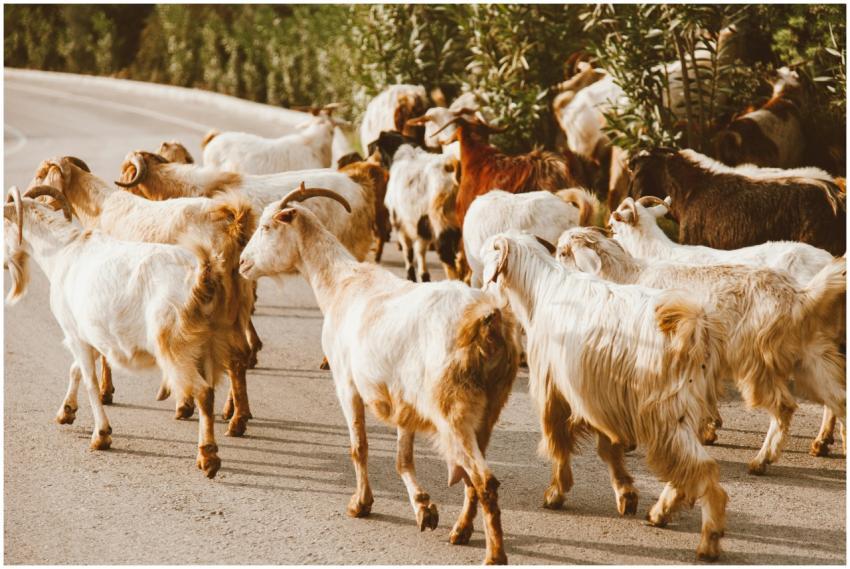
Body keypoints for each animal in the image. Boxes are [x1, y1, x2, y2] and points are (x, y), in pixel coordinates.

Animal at [4, 186, 228, 478]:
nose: (4, 264)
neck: (64, 251)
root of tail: (201, 277)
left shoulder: (75, 334)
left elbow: (90, 381)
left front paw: (101, 435)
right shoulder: (91, 335)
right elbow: (76, 370)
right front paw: (66, 412)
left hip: (174, 346)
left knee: (204, 392)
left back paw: (208, 458)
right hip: (210, 344)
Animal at [32, 157, 257, 437]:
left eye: (41, 173)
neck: (101, 208)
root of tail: (233, 223)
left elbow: (104, 348)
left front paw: (106, 393)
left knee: (233, 357)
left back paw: (230, 419)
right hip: (238, 302)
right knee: (239, 354)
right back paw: (234, 413)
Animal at [239, 186, 521, 564]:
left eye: (267, 226)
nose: (242, 263)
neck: (342, 283)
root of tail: (486, 319)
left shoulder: (346, 383)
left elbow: (359, 446)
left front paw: (361, 504)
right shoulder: (403, 399)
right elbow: (403, 458)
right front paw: (424, 509)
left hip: (453, 408)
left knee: (484, 480)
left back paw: (493, 554)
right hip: (490, 407)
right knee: (472, 478)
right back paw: (461, 531)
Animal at [479, 231, 727, 561]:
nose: (480, 290)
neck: (541, 289)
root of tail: (695, 327)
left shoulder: (554, 391)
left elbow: (559, 443)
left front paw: (556, 493)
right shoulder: (598, 397)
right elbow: (609, 449)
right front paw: (626, 493)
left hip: (667, 412)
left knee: (702, 468)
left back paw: (708, 540)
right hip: (690, 410)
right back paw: (660, 512)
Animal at [557, 226, 846, 468]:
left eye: (563, 252)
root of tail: (799, 296)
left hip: (756, 360)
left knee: (785, 406)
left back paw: (762, 460)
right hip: (812, 356)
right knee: (839, 398)